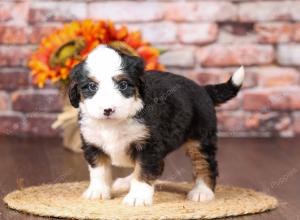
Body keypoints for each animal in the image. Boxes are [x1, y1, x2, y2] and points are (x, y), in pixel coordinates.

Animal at [69, 44, 245, 206]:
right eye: (92, 86)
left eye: (123, 85)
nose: (108, 110)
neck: (114, 124)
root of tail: (203, 89)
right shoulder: (92, 143)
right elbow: (98, 170)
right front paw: (97, 191)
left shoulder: (149, 145)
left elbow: (143, 170)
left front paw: (137, 197)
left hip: (200, 138)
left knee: (205, 163)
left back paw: (202, 191)